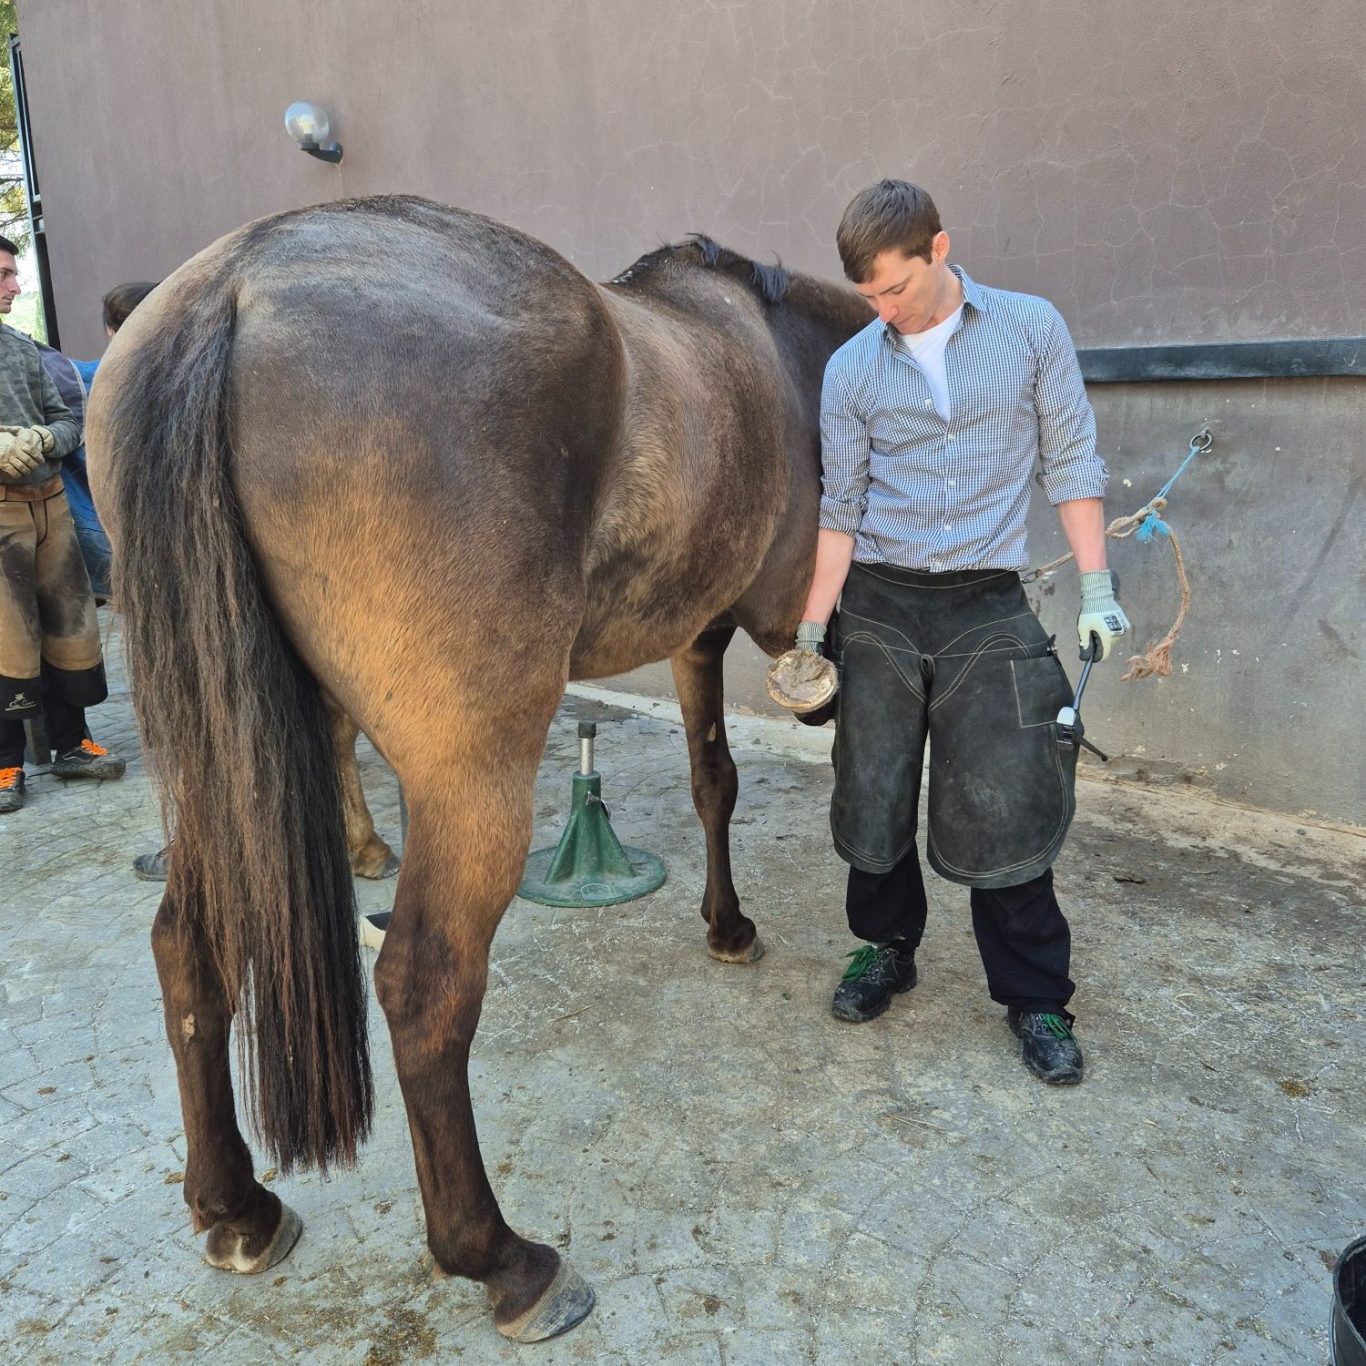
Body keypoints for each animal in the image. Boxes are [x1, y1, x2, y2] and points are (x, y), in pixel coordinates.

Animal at [86, 195, 868, 1342]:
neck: (774, 350)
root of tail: (230, 287)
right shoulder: (761, 626)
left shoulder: (697, 633)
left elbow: (712, 781)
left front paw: (726, 924)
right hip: (473, 779)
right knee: (424, 986)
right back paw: (501, 1258)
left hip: (223, 762)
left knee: (189, 943)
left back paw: (236, 1206)